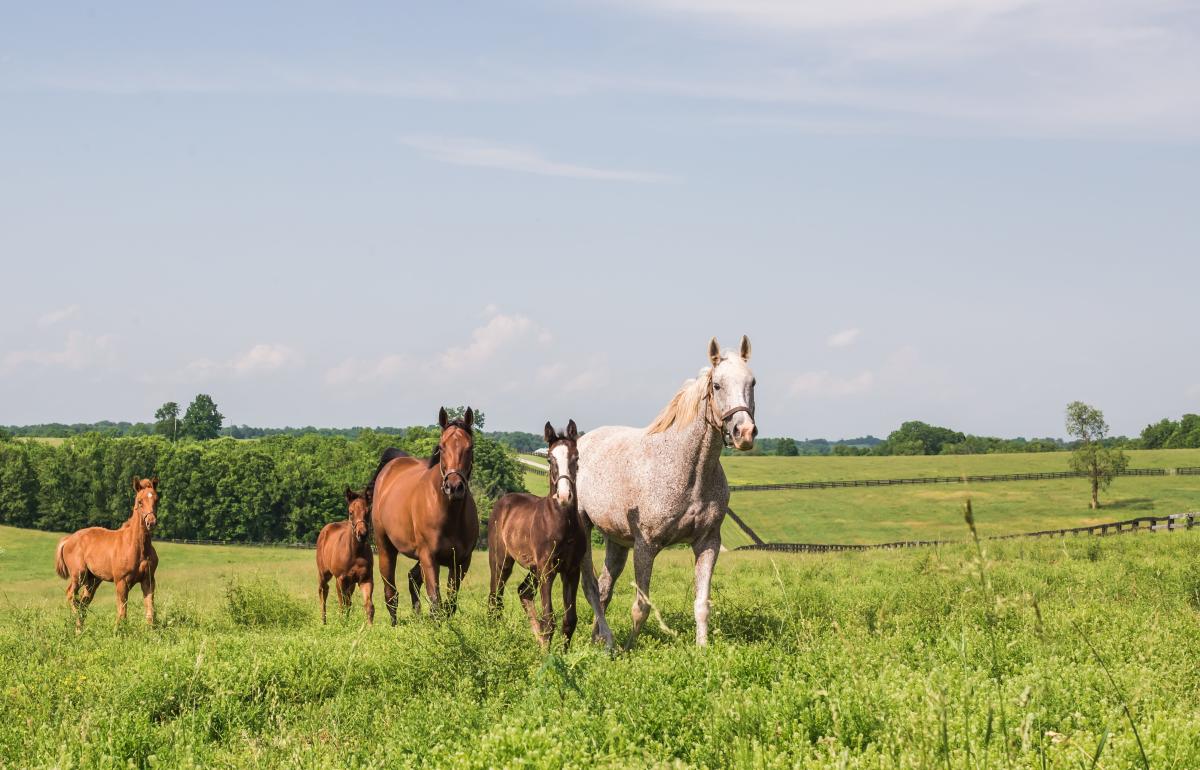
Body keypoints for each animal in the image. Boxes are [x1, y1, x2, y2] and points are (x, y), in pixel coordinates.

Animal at [314, 484, 374, 623]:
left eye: (368, 512)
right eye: (351, 512)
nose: (362, 534)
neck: (355, 553)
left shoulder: (366, 579)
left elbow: (368, 606)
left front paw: (370, 627)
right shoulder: (340, 579)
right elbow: (342, 605)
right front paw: (343, 624)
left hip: (351, 583)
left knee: (348, 600)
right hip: (324, 573)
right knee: (323, 591)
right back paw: (323, 621)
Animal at [367, 405, 480, 618]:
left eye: (470, 448)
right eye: (441, 447)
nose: (454, 487)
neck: (449, 515)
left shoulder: (461, 562)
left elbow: (449, 604)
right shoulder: (429, 558)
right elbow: (436, 603)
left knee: (412, 579)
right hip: (386, 548)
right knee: (390, 594)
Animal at [484, 419, 583, 647]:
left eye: (576, 457)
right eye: (549, 459)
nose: (564, 496)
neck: (562, 524)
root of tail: (503, 501)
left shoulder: (572, 570)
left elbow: (569, 620)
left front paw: (560, 653)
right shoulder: (547, 570)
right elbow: (549, 620)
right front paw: (549, 655)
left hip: (532, 568)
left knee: (523, 592)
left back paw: (537, 640)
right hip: (501, 562)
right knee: (495, 599)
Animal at [576, 335, 753, 647]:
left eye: (752, 383)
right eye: (717, 385)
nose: (744, 433)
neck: (689, 472)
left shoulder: (708, 542)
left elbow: (702, 603)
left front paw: (703, 648)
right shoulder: (646, 545)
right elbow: (641, 607)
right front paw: (628, 648)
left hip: (616, 541)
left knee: (605, 588)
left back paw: (598, 639)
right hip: (585, 530)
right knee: (591, 588)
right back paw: (608, 642)